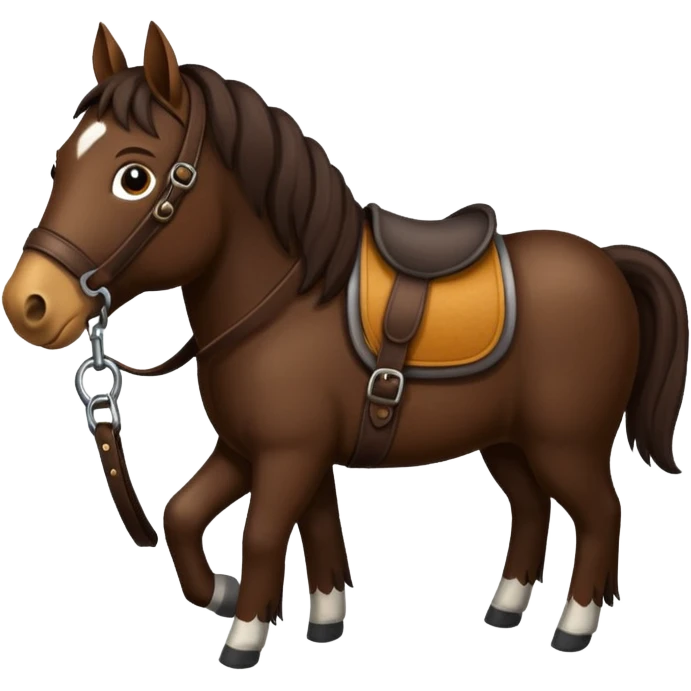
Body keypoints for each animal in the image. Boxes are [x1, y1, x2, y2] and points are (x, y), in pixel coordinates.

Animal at [2, 20, 688, 668]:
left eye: (133, 177)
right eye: (61, 163)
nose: (29, 306)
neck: (289, 302)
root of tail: (608, 262)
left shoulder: (287, 453)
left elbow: (264, 532)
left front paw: (243, 635)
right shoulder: (256, 450)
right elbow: (211, 518)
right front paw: (280, 608)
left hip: (566, 444)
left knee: (601, 515)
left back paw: (573, 628)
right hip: (508, 442)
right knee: (531, 507)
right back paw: (506, 608)